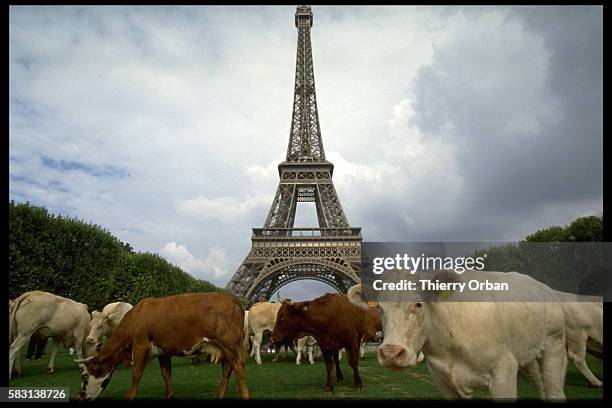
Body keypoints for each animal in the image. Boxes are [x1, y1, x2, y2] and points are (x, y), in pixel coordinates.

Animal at [74, 292, 249, 400]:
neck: (136, 317)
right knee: (227, 369)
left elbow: (136, 374)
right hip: (225, 348)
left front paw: (129, 396)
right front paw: (169, 394)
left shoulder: (140, 345)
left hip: (229, 345)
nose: (79, 396)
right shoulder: (163, 350)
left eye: (85, 376)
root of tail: (231, 298)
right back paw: (219, 395)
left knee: (238, 368)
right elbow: (166, 373)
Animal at [346, 270, 568, 402]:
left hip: (554, 345)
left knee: (554, 391)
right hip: (527, 354)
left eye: (419, 304)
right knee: (540, 384)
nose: (391, 354)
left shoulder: (503, 373)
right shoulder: (443, 381)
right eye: (379, 308)